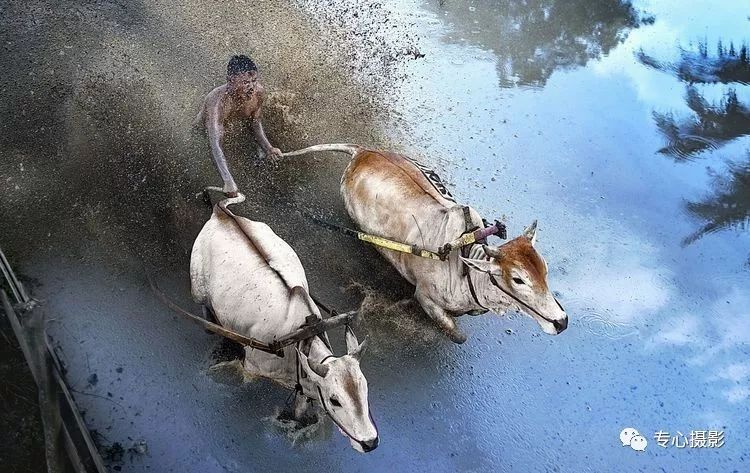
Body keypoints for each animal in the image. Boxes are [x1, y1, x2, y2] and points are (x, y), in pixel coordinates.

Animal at [191, 195, 378, 450]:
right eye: (335, 400)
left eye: (365, 389)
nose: (371, 442)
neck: (300, 337)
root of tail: (220, 213)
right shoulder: (251, 368)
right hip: (198, 290)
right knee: (206, 309)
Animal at [284, 144, 568, 342]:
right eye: (518, 279)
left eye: (545, 270)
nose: (562, 321)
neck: (462, 262)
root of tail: (363, 152)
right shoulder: (425, 297)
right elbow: (457, 335)